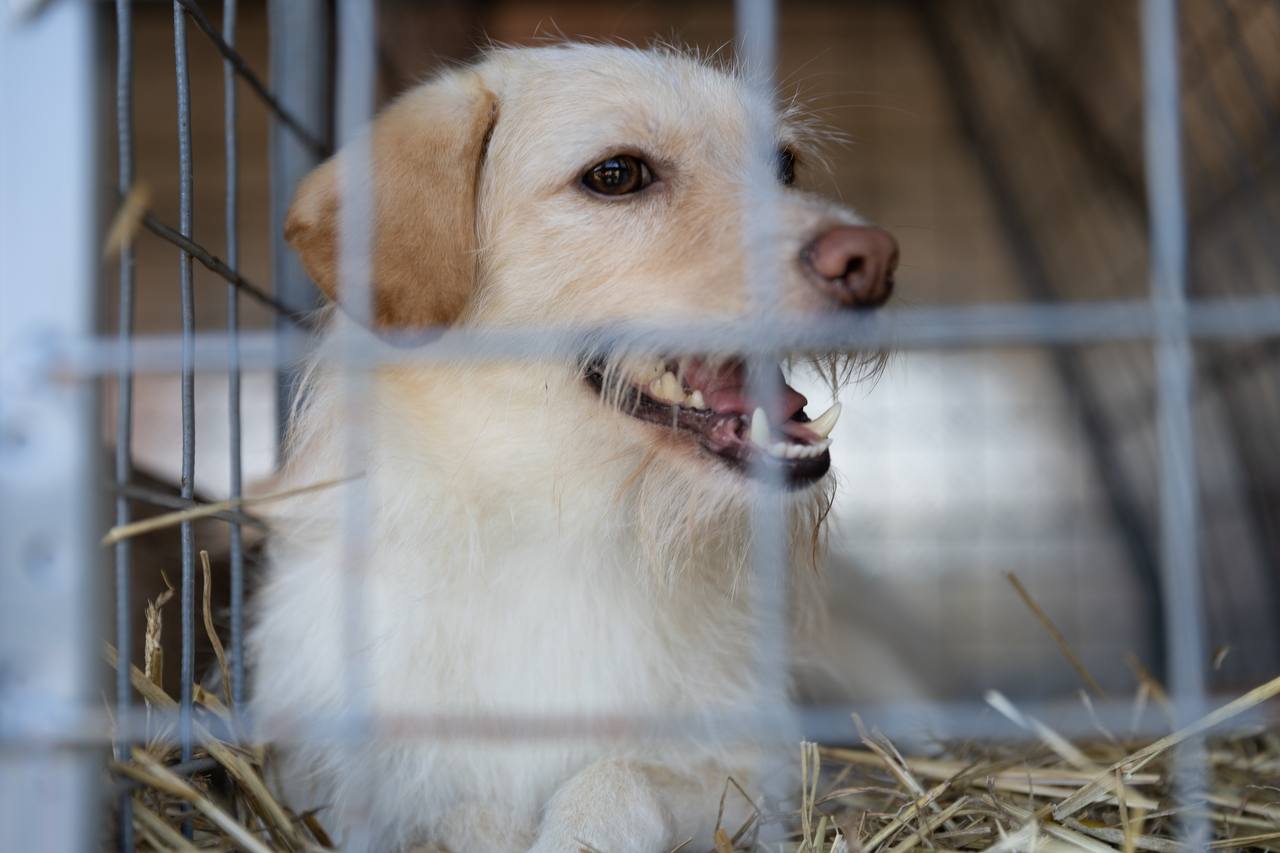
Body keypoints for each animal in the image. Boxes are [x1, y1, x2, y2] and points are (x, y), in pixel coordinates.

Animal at [249, 41, 901, 850]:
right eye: (615, 175)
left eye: (783, 166)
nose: (872, 260)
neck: (563, 519)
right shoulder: (342, 784)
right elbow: (466, 813)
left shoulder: (751, 769)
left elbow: (615, 777)